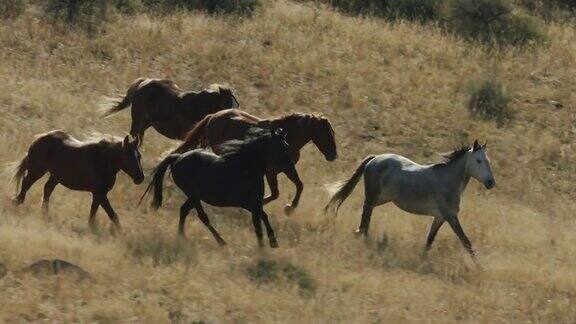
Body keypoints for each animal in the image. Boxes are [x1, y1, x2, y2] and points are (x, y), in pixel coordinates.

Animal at [11, 130, 144, 232]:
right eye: (128, 156)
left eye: (139, 156)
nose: (140, 178)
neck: (102, 161)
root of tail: (39, 138)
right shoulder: (100, 193)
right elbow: (113, 215)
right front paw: (120, 234)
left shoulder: (98, 194)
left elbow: (94, 212)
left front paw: (92, 228)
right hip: (37, 170)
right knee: (26, 184)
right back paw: (16, 202)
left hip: (55, 176)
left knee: (47, 189)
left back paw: (45, 213)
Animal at [100, 78, 240, 144]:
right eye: (226, 104)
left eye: (237, 105)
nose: (232, 118)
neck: (199, 106)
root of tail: (144, 82)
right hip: (137, 118)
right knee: (134, 135)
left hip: (148, 122)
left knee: (139, 136)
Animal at [171, 109, 338, 214]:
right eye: (326, 133)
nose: (333, 156)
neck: (286, 138)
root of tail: (214, 115)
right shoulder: (272, 171)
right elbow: (279, 192)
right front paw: (286, 207)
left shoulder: (285, 169)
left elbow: (296, 186)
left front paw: (288, 208)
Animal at [324, 140, 496, 256]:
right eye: (478, 161)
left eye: (488, 161)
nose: (491, 183)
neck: (447, 181)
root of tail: (375, 158)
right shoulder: (450, 216)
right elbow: (466, 241)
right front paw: (479, 267)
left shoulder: (439, 217)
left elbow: (429, 240)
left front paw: (422, 258)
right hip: (373, 197)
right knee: (366, 215)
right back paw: (362, 235)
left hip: (382, 198)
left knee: (366, 214)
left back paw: (360, 234)